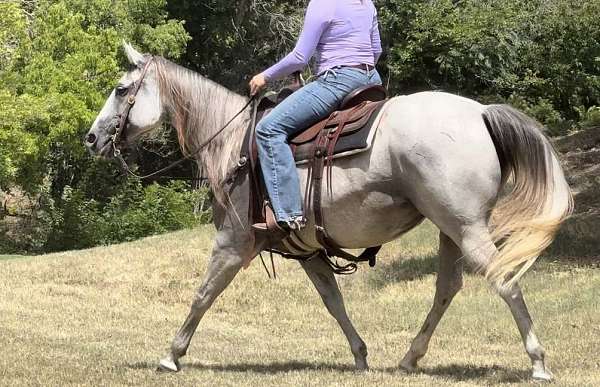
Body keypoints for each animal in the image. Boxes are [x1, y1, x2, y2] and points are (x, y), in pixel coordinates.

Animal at [84, 43, 572, 382]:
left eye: (121, 90)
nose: (91, 138)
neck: (233, 144)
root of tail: (481, 112)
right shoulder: (307, 250)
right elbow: (333, 301)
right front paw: (360, 356)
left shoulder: (234, 242)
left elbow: (203, 294)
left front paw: (171, 354)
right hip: (450, 228)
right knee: (447, 288)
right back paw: (409, 358)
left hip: (466, 227)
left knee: (503, 280)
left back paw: (538, 363)